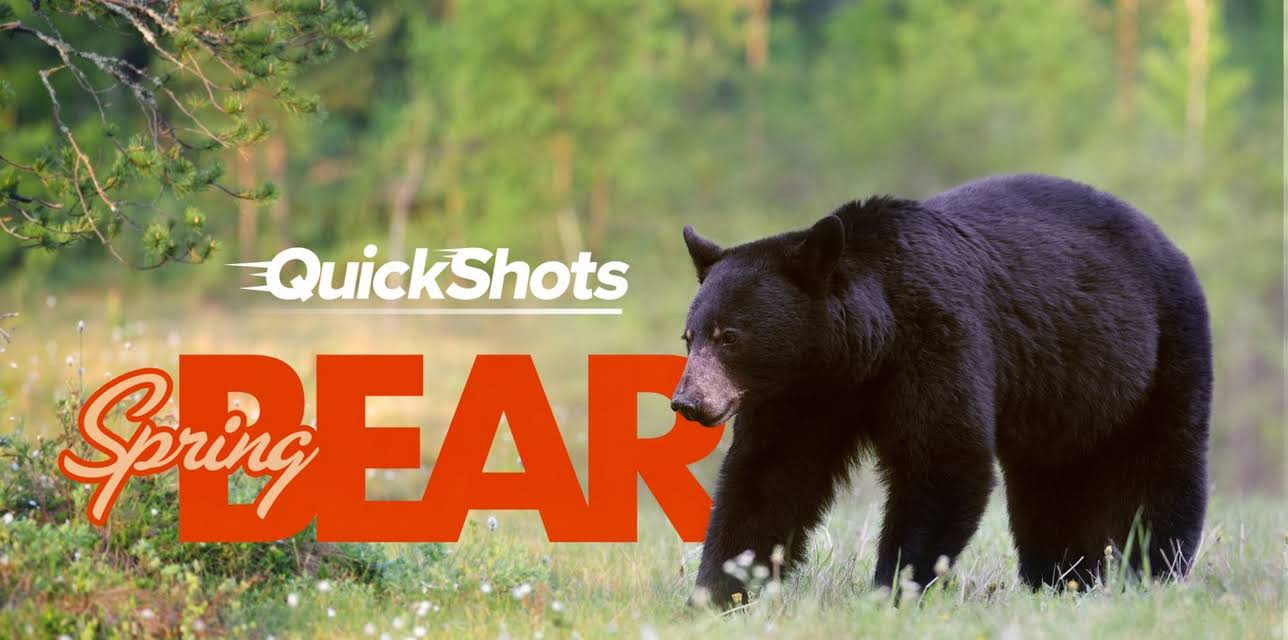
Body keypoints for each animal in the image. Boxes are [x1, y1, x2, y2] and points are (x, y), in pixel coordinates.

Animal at [670, 173, 1211, 607]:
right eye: (690, 336)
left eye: (730, 336)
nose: (688, 401)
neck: (863, 348)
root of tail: (1161, 236)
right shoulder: (803, 397)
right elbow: (769, 478)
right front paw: (719, 591)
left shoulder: (937, 340)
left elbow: (943, 460)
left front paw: (892, 590)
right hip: (1067, 395)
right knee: (1053, 485)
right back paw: (1062, 580)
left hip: (1160, 348)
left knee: (1159, 466)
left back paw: (1152, 574)